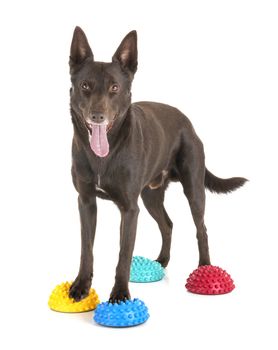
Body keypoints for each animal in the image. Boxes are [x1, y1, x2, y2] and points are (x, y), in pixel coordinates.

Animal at [68, 26, 247, 304]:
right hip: (150, 196)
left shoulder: (130, 209)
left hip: (194, 190)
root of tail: (188, 122)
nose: (98, 116)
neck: (103, 156)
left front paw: (120, 293)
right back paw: (163, 260)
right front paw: (81, 286)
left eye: (115, 87)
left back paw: (205, 267)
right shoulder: (86, 202)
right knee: (167, 224)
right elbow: (86, 248)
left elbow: (124, 253)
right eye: (85, 86)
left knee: (202, 228)